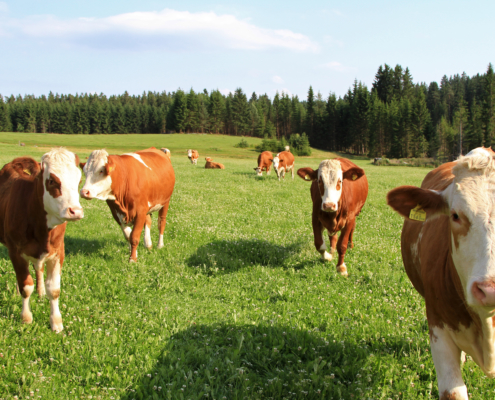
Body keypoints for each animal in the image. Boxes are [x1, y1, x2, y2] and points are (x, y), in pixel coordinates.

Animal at [0, 148, 84, 332]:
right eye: (51, 181)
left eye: (79, 180)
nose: (75, 211)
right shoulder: (15, 252)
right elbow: (25, 286)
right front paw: (26, 318)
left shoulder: (58, 252)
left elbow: (54, 289)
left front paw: (56, 322)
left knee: (38, 269)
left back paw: (40, 292)